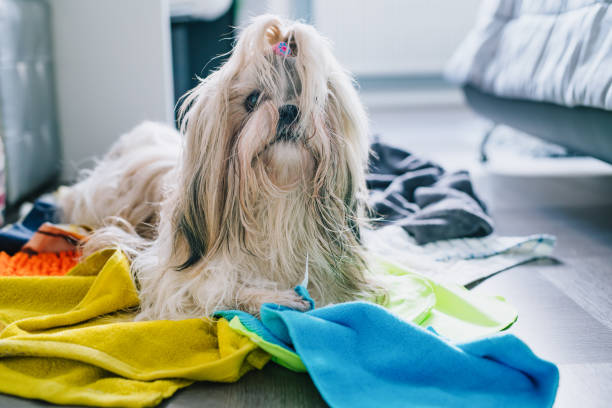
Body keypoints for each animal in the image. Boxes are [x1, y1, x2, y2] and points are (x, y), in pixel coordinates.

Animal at [58, 15, 378, 320]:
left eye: (313, 99)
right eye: (252, 100)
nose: (289, 110)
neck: (276, 204)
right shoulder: (173, 281)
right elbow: (219, 288)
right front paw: (274, 298)